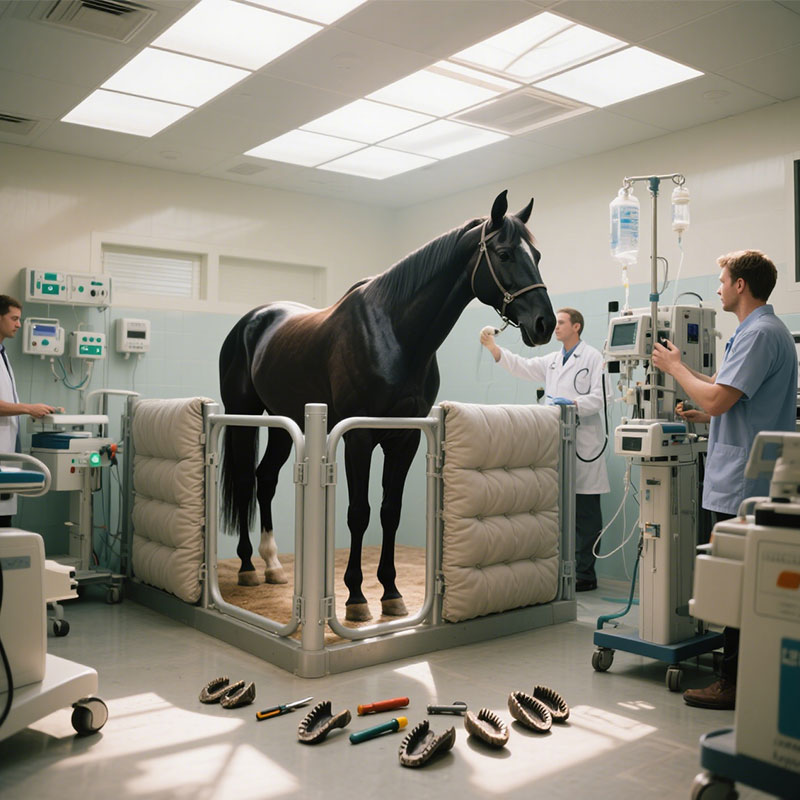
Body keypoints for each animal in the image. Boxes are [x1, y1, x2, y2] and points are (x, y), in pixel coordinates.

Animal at [218, 190, 555, 622]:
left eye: (538, 255)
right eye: (504, 253)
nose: (545, 323)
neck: (395, 332)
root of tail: (253, 320)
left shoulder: (404, 439)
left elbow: (389, 511)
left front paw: (391, 593)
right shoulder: (358, 439)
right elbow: (359, 513)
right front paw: (355, 598)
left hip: (286, 419)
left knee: (266, 479)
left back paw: (273, 565)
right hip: (242, 416)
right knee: (246, 480)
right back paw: (247, 567)